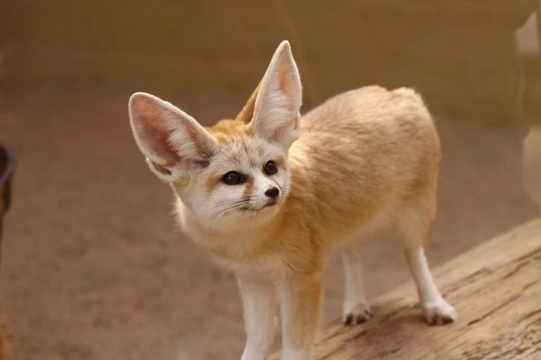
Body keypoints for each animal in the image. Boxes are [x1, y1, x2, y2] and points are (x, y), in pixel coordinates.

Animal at [129, 40, 454, 358]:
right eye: (232, 178)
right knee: (351, 251)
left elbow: (294, 347)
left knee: (414, 255)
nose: (273, 191)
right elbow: (258, 340)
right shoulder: (252, 280)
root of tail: (399, 93)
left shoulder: (300, 280)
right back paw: (355, 303)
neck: (250, 243)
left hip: (413, 220)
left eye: (270, 167)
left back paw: (433, 304)